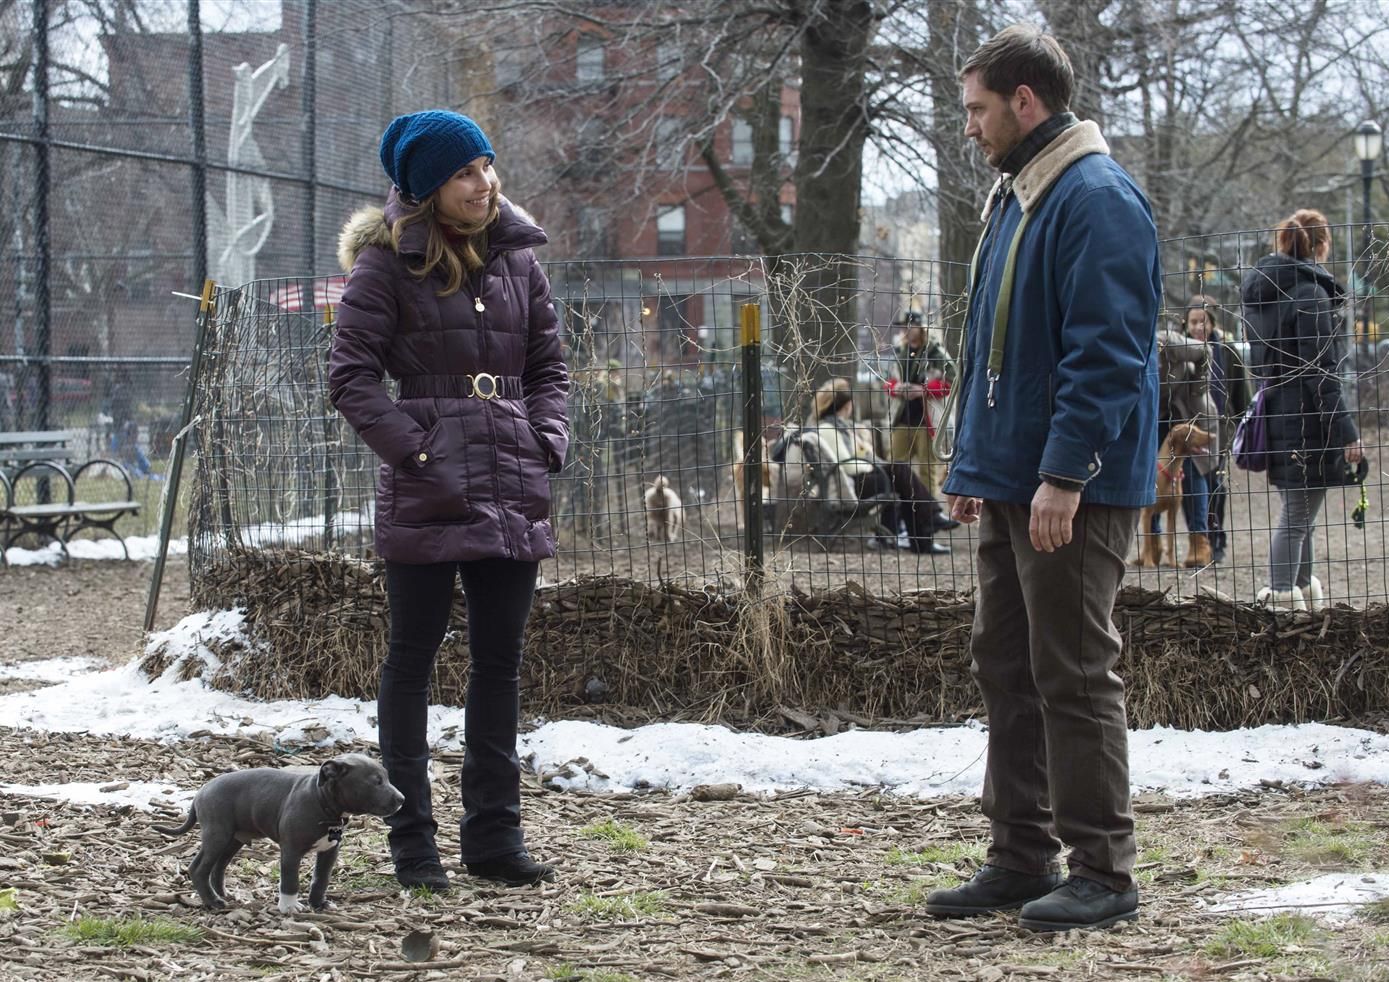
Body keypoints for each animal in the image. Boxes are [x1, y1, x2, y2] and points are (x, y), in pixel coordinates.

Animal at [154, 755, 402, 916]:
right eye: (376, 781)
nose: (402, 799)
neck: (322, 803)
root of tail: (200, 792)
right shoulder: (291, 850)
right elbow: (290, 880)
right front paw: (289, 907)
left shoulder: (329, 851)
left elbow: (320, 879)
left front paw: (318, 904)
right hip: (218, 834)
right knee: (198, 868)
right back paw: (213, 901)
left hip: (234, 839)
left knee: (219, 867)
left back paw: (224, 894)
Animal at [1138, 419, 1216, 569]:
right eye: (1192, 432)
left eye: (1197, 428)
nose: (1214, 435)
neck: (1170, 472)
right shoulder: (1147, 514)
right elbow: (1148, 542)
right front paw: (1149, 563)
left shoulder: (1172, 512)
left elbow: (1170, 541)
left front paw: (1173, 563)